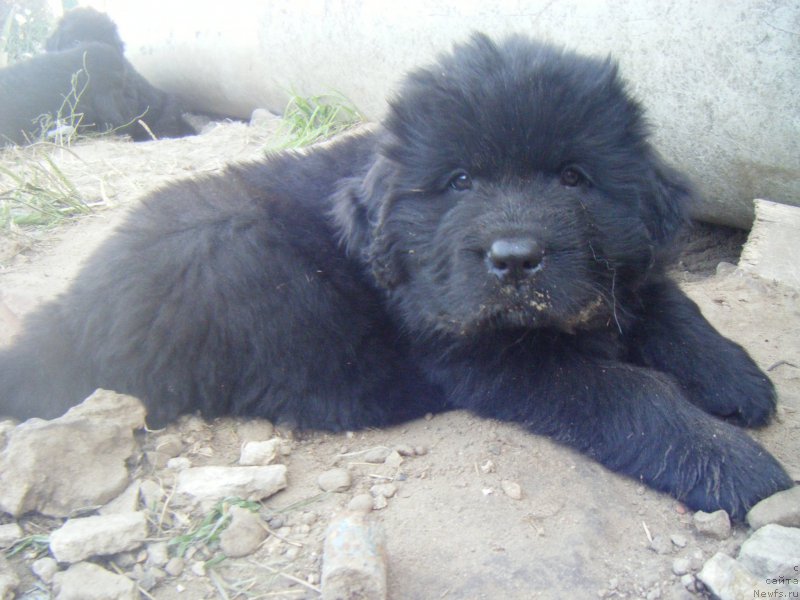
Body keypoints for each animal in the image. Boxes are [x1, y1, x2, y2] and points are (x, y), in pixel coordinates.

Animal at [0, 35, 792, 516]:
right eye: (460, 180)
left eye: (573, 177)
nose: (514, 257)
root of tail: (72, 312)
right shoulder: (495, 356)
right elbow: (634, 395)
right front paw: (742, 470)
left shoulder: (617, 271)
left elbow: (671, 307)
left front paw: (737, 378)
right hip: (233, 251)